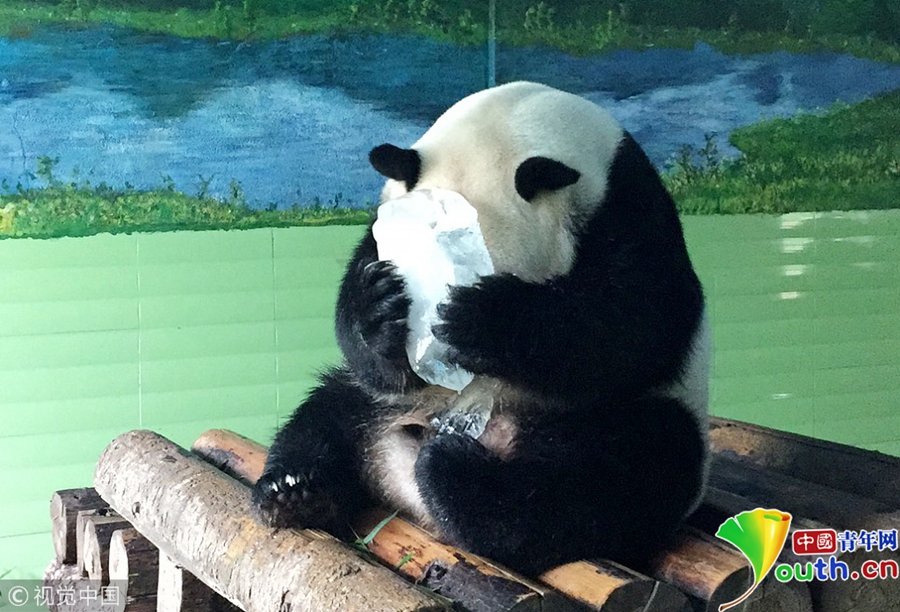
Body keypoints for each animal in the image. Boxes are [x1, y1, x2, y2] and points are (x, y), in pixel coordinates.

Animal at [253, 80, 712, 572]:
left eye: (469, 262)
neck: (519, 119)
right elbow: (359, 321)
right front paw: (380, 309)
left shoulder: (626, 206)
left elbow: (636, 321)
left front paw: (483, 319)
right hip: (383, 408)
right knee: (325, 416)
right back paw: (294, 492)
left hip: (615, 422)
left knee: (611, 476)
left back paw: (454, 476)